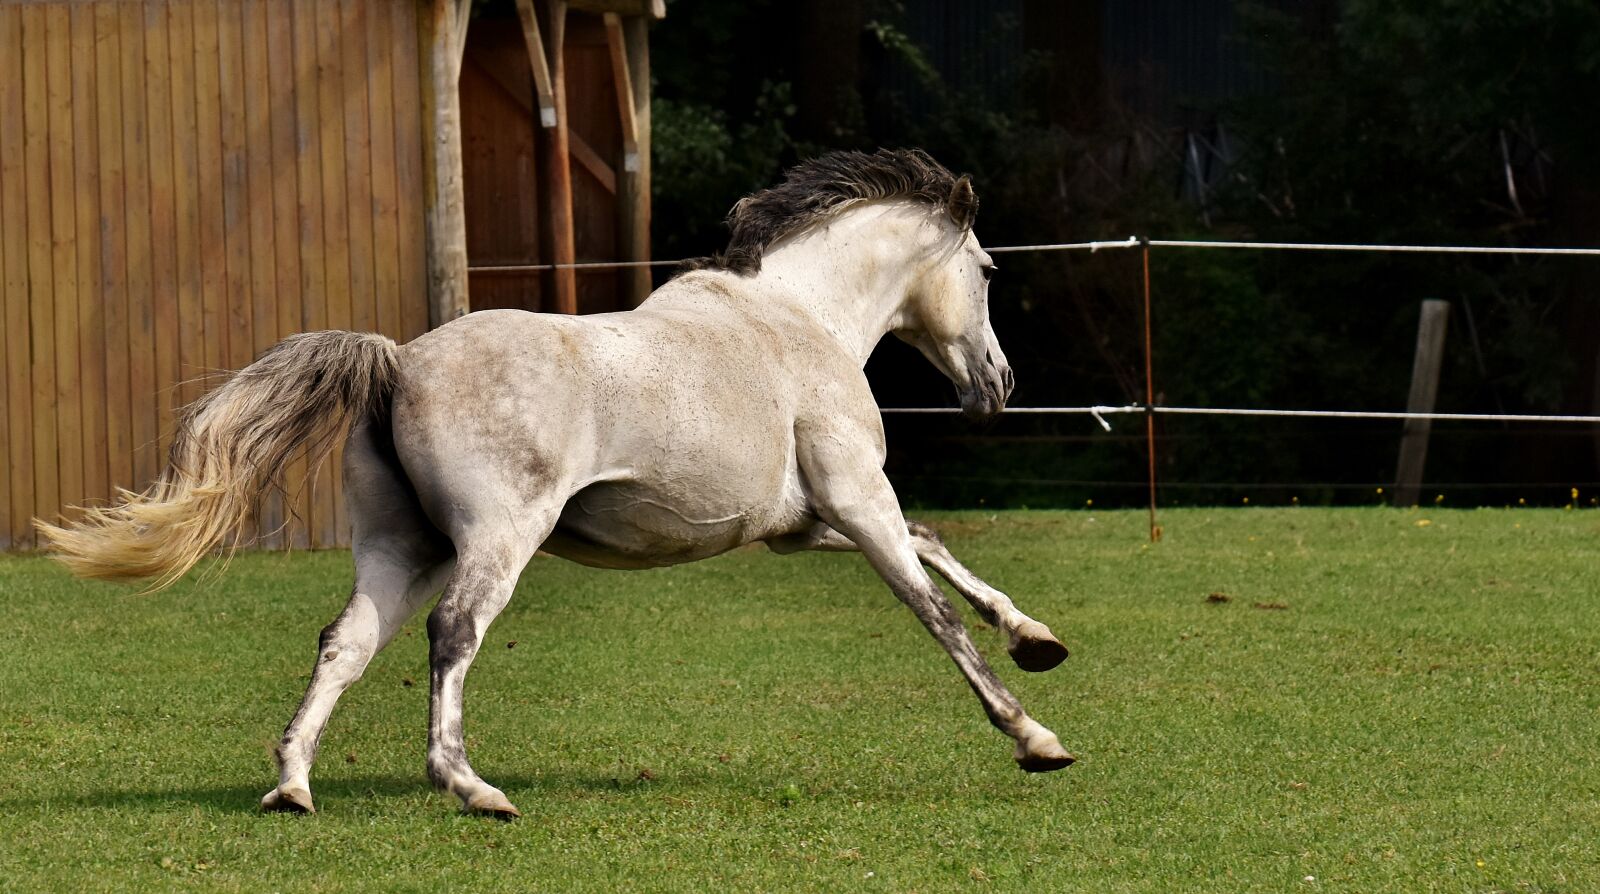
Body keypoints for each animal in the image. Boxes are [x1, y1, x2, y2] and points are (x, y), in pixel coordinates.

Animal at [39, 148, 1074, 818]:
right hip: (499, 540)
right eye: (988, 269)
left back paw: (293, 785)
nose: (999, 384)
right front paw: (1033, 735)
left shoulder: (802, 522)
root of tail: (398, 363)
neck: (795, 318)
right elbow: (931, 609)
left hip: (404, 548)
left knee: (346, 642)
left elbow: (938, 550)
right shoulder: (857, 500)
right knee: (453, 633)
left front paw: (1037, 640)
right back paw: (469, 788)